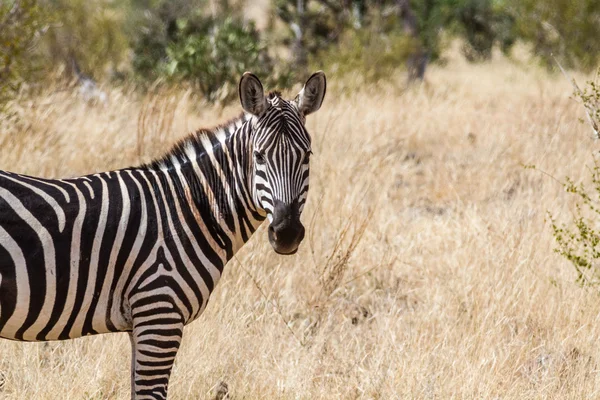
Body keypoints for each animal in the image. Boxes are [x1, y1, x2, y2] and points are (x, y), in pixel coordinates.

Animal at [0, 71, 326, 396]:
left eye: (307, 156)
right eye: (259, 156)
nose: (286, 233)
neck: (188, 207)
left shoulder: (141, 322)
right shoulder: (159, 314)